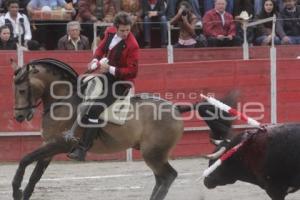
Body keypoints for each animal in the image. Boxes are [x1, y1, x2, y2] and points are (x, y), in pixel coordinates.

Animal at [12, 58, 190, 200]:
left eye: (22, 90)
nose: (19, 116)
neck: (63, 101)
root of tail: (175, 108)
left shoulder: (59, 144)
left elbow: (25, 159)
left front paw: (15, 191)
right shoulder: (48, 146)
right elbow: (34, 177)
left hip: (153, 154)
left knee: (168, 176)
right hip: (154, 154)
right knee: (161, 179)